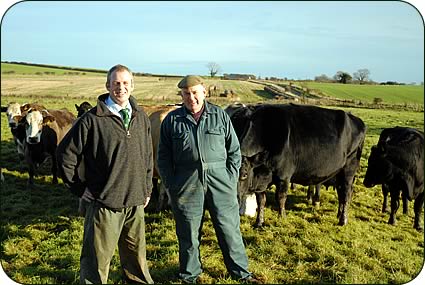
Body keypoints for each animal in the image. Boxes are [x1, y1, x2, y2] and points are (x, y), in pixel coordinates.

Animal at [234, 103, 366, 225]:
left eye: (244, 175)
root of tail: (357, 120)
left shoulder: (284, 176)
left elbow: (280, 198)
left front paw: (282, 219)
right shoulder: (260, 179)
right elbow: (261, 200)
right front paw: (259, 222)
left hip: (349, 169)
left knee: (346, 193)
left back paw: (343, 220)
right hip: (338, 173)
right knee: (341, 192)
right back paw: (339, 214)